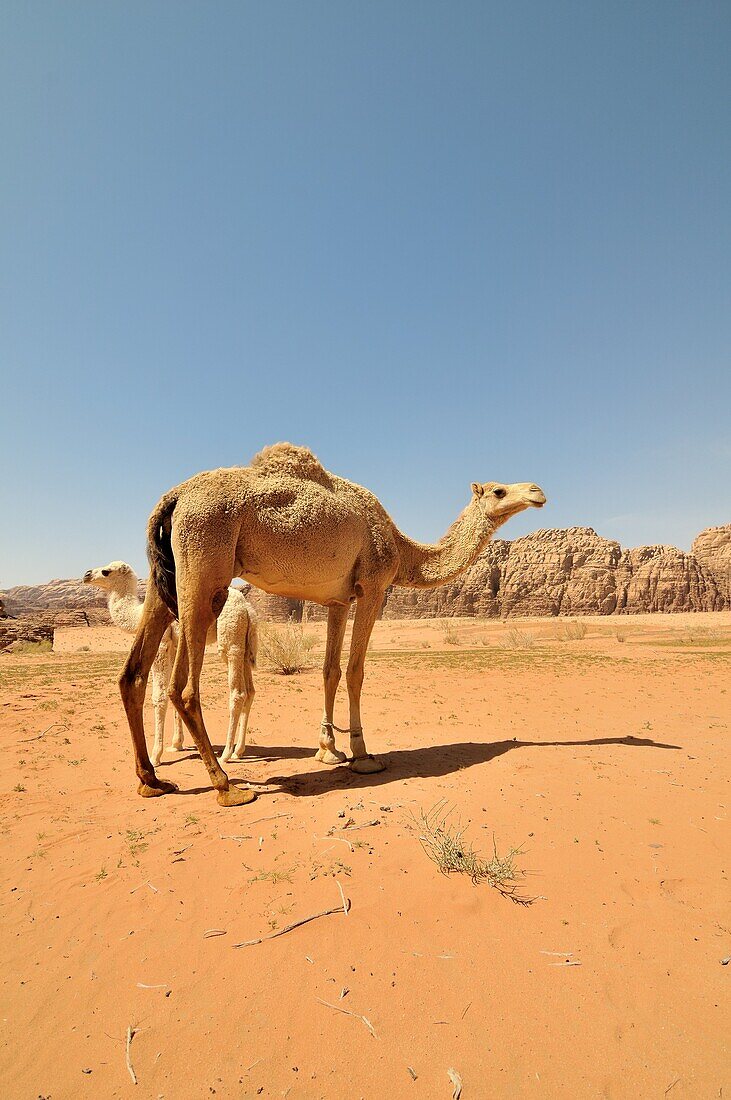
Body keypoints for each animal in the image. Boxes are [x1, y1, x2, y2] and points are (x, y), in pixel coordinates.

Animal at [84, 558, 256, 765]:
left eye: (106, 571)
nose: (86, 575)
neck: (139, 615)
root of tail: (248, 609)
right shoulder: (174, 645)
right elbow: (173, 689)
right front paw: (176, 744)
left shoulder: (162, 645)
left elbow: (159, 697)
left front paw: (155, 755)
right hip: (243, 642)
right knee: (250, 691)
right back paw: (239, 750)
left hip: (230, 637)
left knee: (237, 692)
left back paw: (226, 754)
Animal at [118, 440, 540, 809]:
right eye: (499, 490)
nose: (537, 491)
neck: (402, 550)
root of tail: (173, 497)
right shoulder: (372, 586)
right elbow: (355, 671)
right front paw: (362, 753)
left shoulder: (338, 601)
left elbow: (329, 671)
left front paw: (328, 749)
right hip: (205, 568)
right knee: (184, 689)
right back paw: (226, 786)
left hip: (166, 577)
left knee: (133, 673)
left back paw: (152, 780)